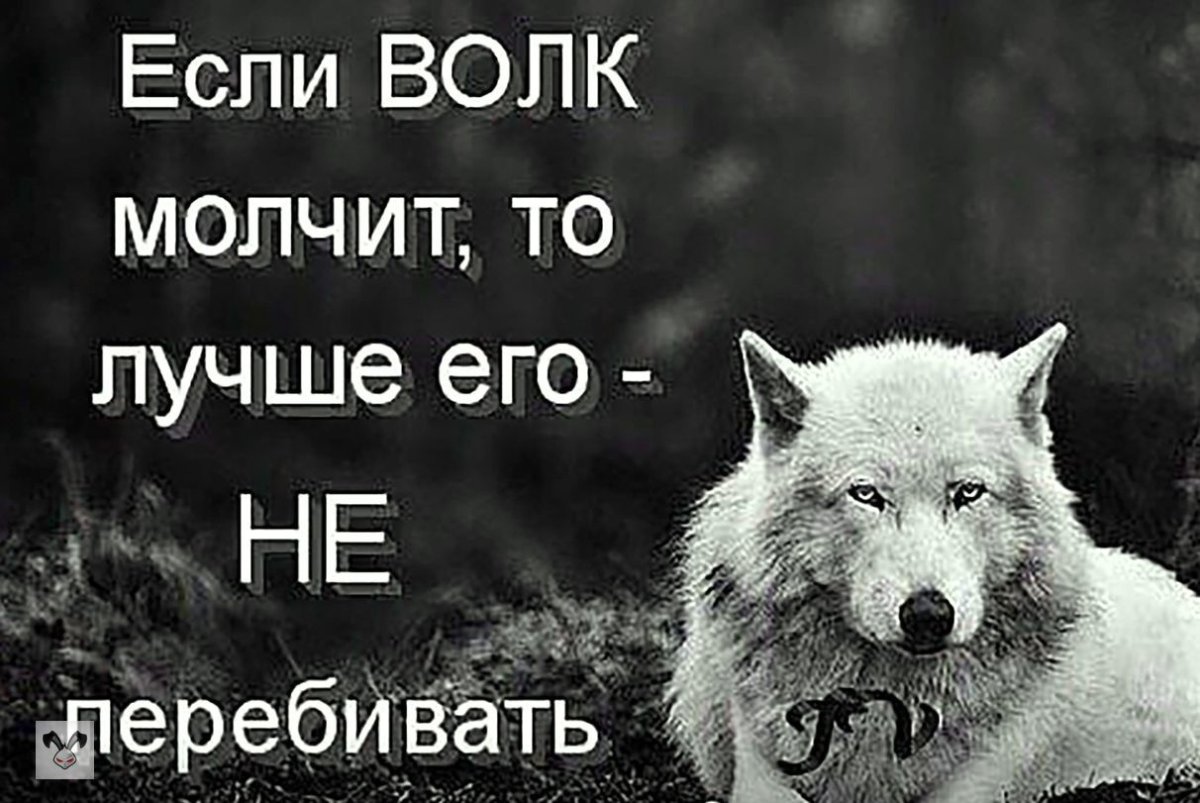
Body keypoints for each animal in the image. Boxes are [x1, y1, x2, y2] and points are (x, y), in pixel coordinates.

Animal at [668, 324, 1200, 802]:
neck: (888, 700)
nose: (927, 614)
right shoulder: (759, 770)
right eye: (867, 494)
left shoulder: (984, 778)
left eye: (968, 492)